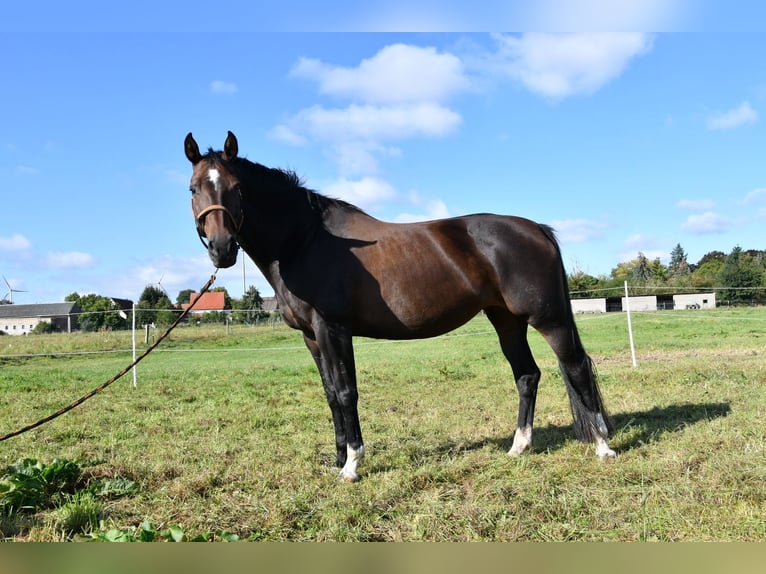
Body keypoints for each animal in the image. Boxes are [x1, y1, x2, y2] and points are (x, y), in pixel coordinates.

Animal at [186, 133, 616, 484]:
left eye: (238, 188)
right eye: (193, 189)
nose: (222, 249)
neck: (303, 239)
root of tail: (537, 229)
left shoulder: (332, 329)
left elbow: (347, 392)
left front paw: (352, 465)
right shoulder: (312, 337)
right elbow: (330, 394)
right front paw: (336, 459)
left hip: (548, 318)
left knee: (576, 367)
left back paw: (602, 446)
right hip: (506, 321)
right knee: (527, 375)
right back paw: (518, 447)